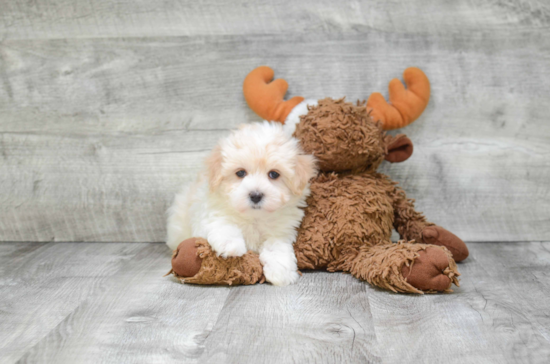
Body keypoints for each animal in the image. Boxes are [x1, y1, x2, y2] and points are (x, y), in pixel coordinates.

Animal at [166, 122, 316, 288]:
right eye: (240, 173)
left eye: (274, 174)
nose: (256, 195)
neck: (254, 217)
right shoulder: (209, 213)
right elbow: (222, 224)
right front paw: (230, 244)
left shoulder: (281, 231)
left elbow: (276, 246)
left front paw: (281, 272)